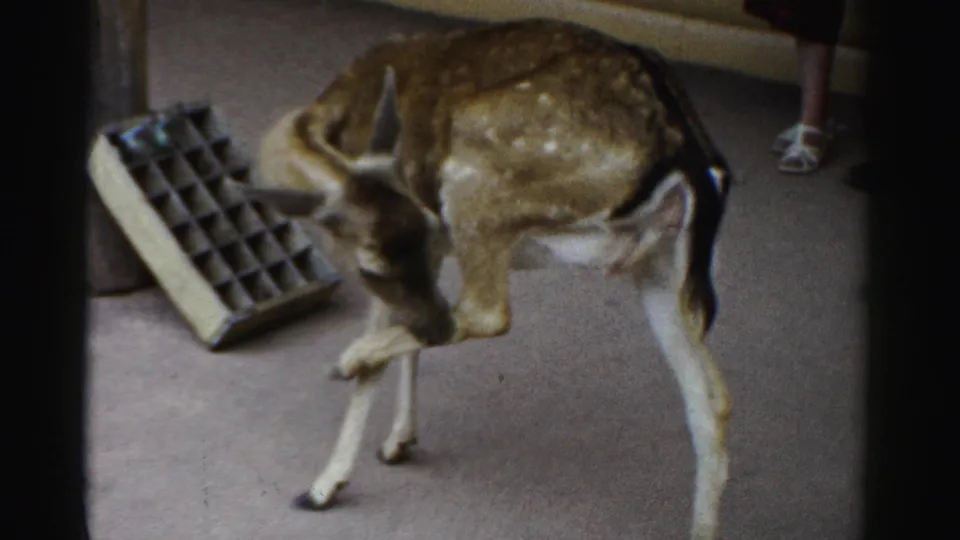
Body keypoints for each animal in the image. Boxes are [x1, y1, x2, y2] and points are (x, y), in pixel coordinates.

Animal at [244, 18, 734, 540]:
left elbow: (393, 344)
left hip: (476, 176)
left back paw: (351, 358)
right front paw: (398, 441)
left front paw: (323, 485)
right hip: (665, 266)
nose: (436, 327)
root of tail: (687, 152)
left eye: (424, 221)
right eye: (373, 264)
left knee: (486, 311)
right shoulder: (435, 256)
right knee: (712, 401)